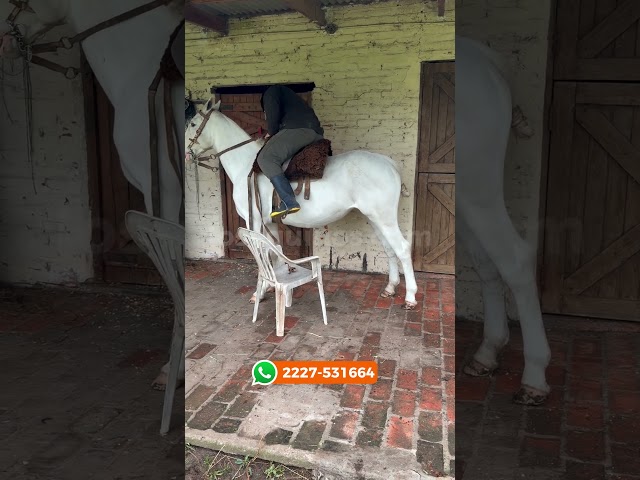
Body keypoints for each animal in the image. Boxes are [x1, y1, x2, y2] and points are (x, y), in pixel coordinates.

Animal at [185, 98, 420, 310]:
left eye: (193, 124)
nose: (187, 153)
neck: (246, 165)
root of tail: (389, 163)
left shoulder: (254, 223)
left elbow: (262, 256)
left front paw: (258, 293)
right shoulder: (268, 224)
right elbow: (273, 254)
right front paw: (271, 286)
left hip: (384, 219)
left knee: (402, 248)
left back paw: (410, 296)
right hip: (376, 219)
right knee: (389, 249)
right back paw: (390, 288)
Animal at [457, 36, 550, 404]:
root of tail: (485, 58)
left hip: (477, 187)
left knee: (515, 259)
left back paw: (535, 373)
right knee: (487, 263)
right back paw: (487, 352)